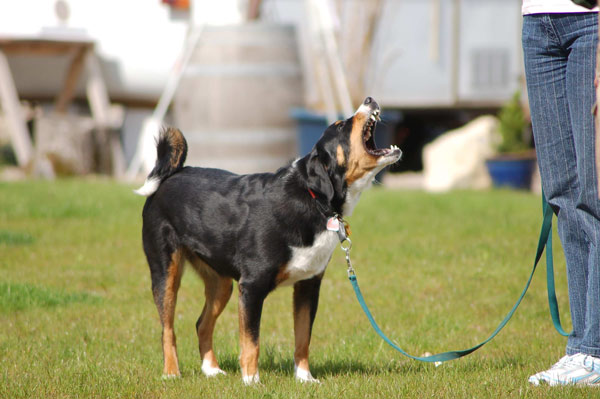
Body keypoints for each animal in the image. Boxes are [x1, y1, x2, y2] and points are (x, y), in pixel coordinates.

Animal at [134, 97, 400, 384]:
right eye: (341, 125)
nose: (369, 100)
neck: (313, 198)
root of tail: (170, 175)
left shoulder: (308, 286)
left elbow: (302, 338)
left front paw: (305, 378)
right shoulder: (252, 287)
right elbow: (251, 342)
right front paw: (251, 381)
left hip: (221, 284)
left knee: (201, 324)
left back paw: (211, 369)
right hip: (166, 272)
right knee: (167, 328)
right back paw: (172, 372)